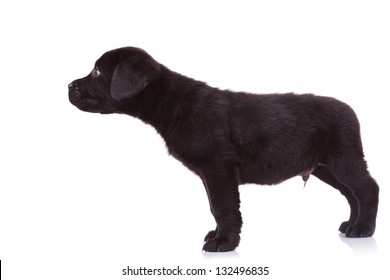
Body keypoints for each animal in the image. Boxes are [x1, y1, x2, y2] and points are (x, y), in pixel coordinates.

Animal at [68, 47, 380, 253]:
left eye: (97, 71)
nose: (69, 85)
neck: (173, 105)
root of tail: (350, 110)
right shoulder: (210, 174)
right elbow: (215, 207)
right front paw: (217, 235)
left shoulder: (218, 168)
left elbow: (223, 207)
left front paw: (224, 243)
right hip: (326, 168)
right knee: (352, 195)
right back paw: (351, 225)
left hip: (343, 159)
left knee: (367, 189)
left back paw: (363, 230)